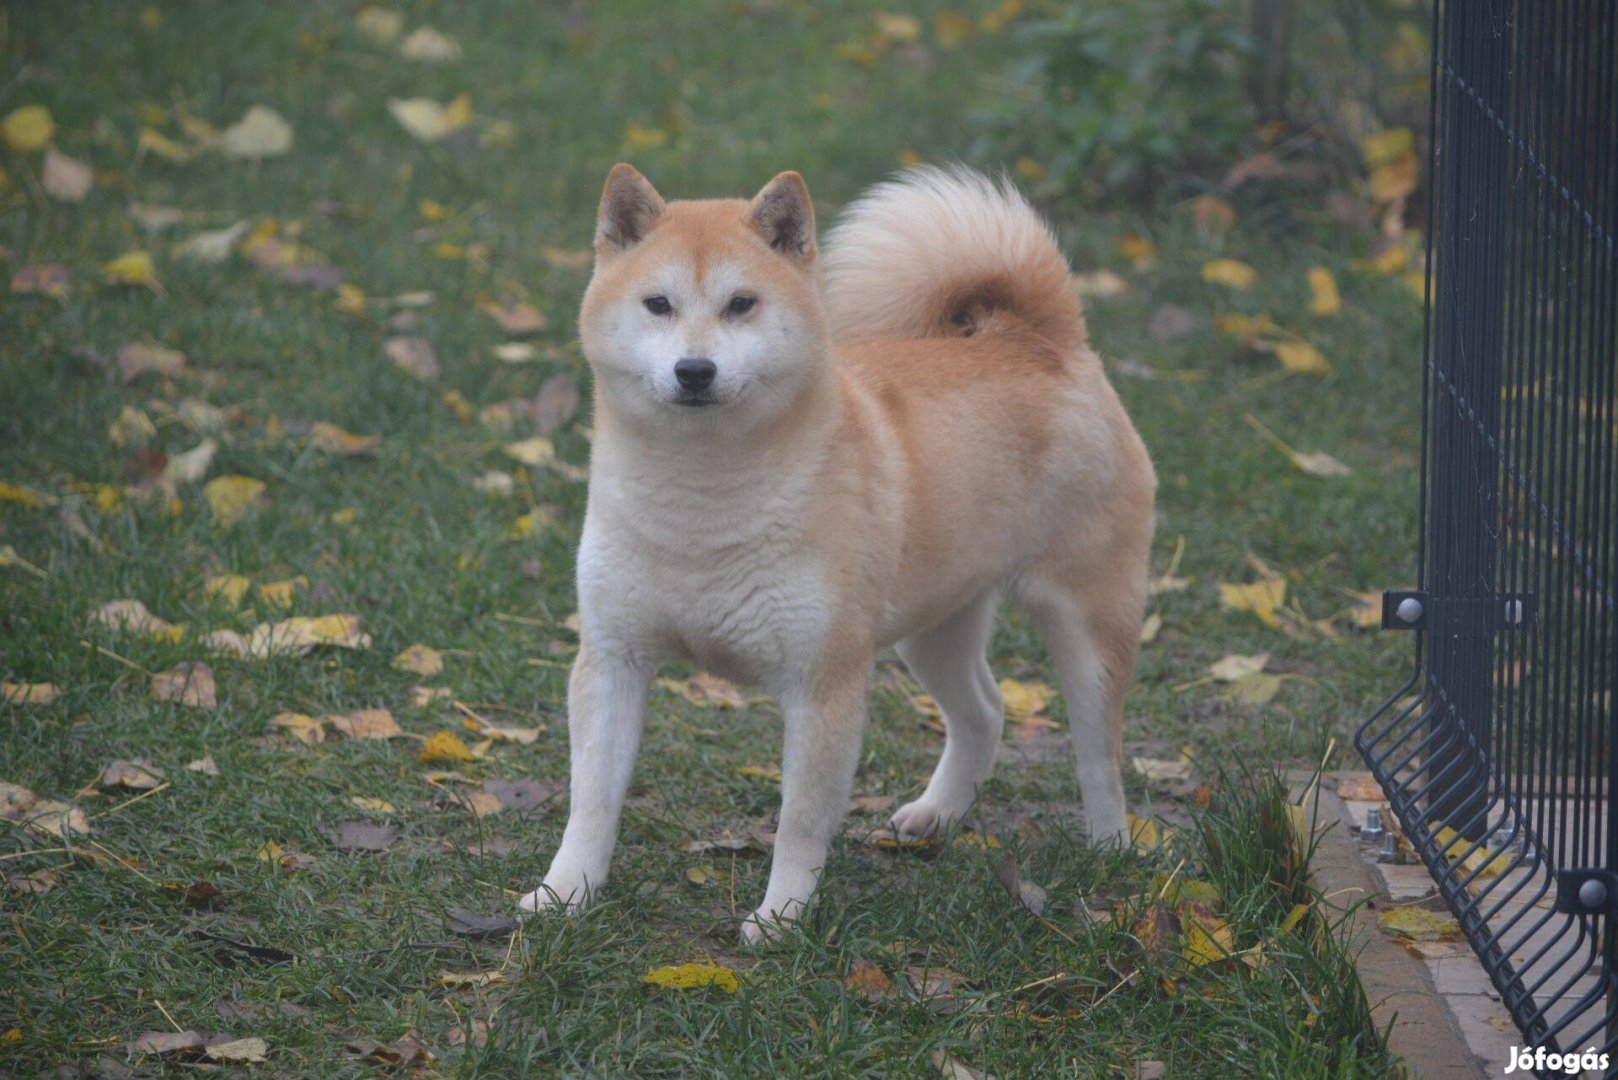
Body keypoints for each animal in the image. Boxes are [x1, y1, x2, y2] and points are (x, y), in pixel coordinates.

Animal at [524, 162, 1158, 945]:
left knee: (1099, 755)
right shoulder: (612, 662)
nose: (695, 370)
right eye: (658, 304)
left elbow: (799, 823)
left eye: (742, 304)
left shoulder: (824, 684)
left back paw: (1108, 849)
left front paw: (782, 917)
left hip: (1088, 628)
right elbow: (591, 801)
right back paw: (937, 814)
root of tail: (1040, 340)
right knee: (984, 712)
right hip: (933, 628)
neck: (701, 506)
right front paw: (565, 894)